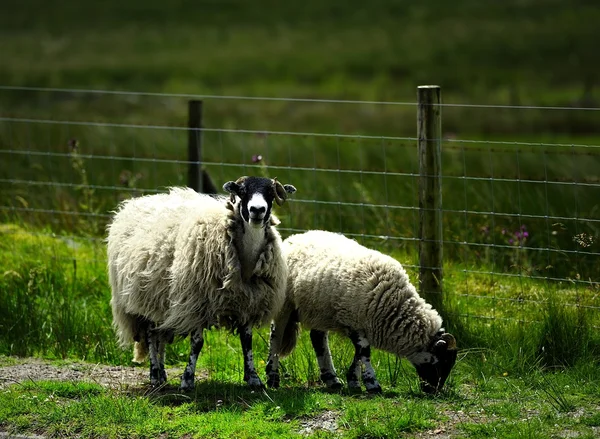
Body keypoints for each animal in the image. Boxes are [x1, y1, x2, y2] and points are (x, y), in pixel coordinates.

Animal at [108, 177, 298, 390]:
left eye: (271, 193)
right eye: (242, 191)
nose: (257, 210)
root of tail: (138, 201)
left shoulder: (249, 302)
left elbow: (247, 341)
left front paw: (253, 378)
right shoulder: (197, 302)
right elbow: (197, 343)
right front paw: (187, 379)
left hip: (161, 300)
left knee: (160, 337)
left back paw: (162, 374)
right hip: (144, 298)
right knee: (150, 336)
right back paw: (155, 375)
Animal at [264, 230, 458, 396]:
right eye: (442, 361)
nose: (433, 391)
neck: (393, 303)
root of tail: (296, 237)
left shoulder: (360, 324)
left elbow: (358, 354)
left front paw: (354, 381)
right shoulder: (354, 321)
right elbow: (364, 352)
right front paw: (372, 384)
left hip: (320, 310)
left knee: (318, 339)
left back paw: (332, 379)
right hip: (285, 304)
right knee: (276, 337)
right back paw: (272, 378)